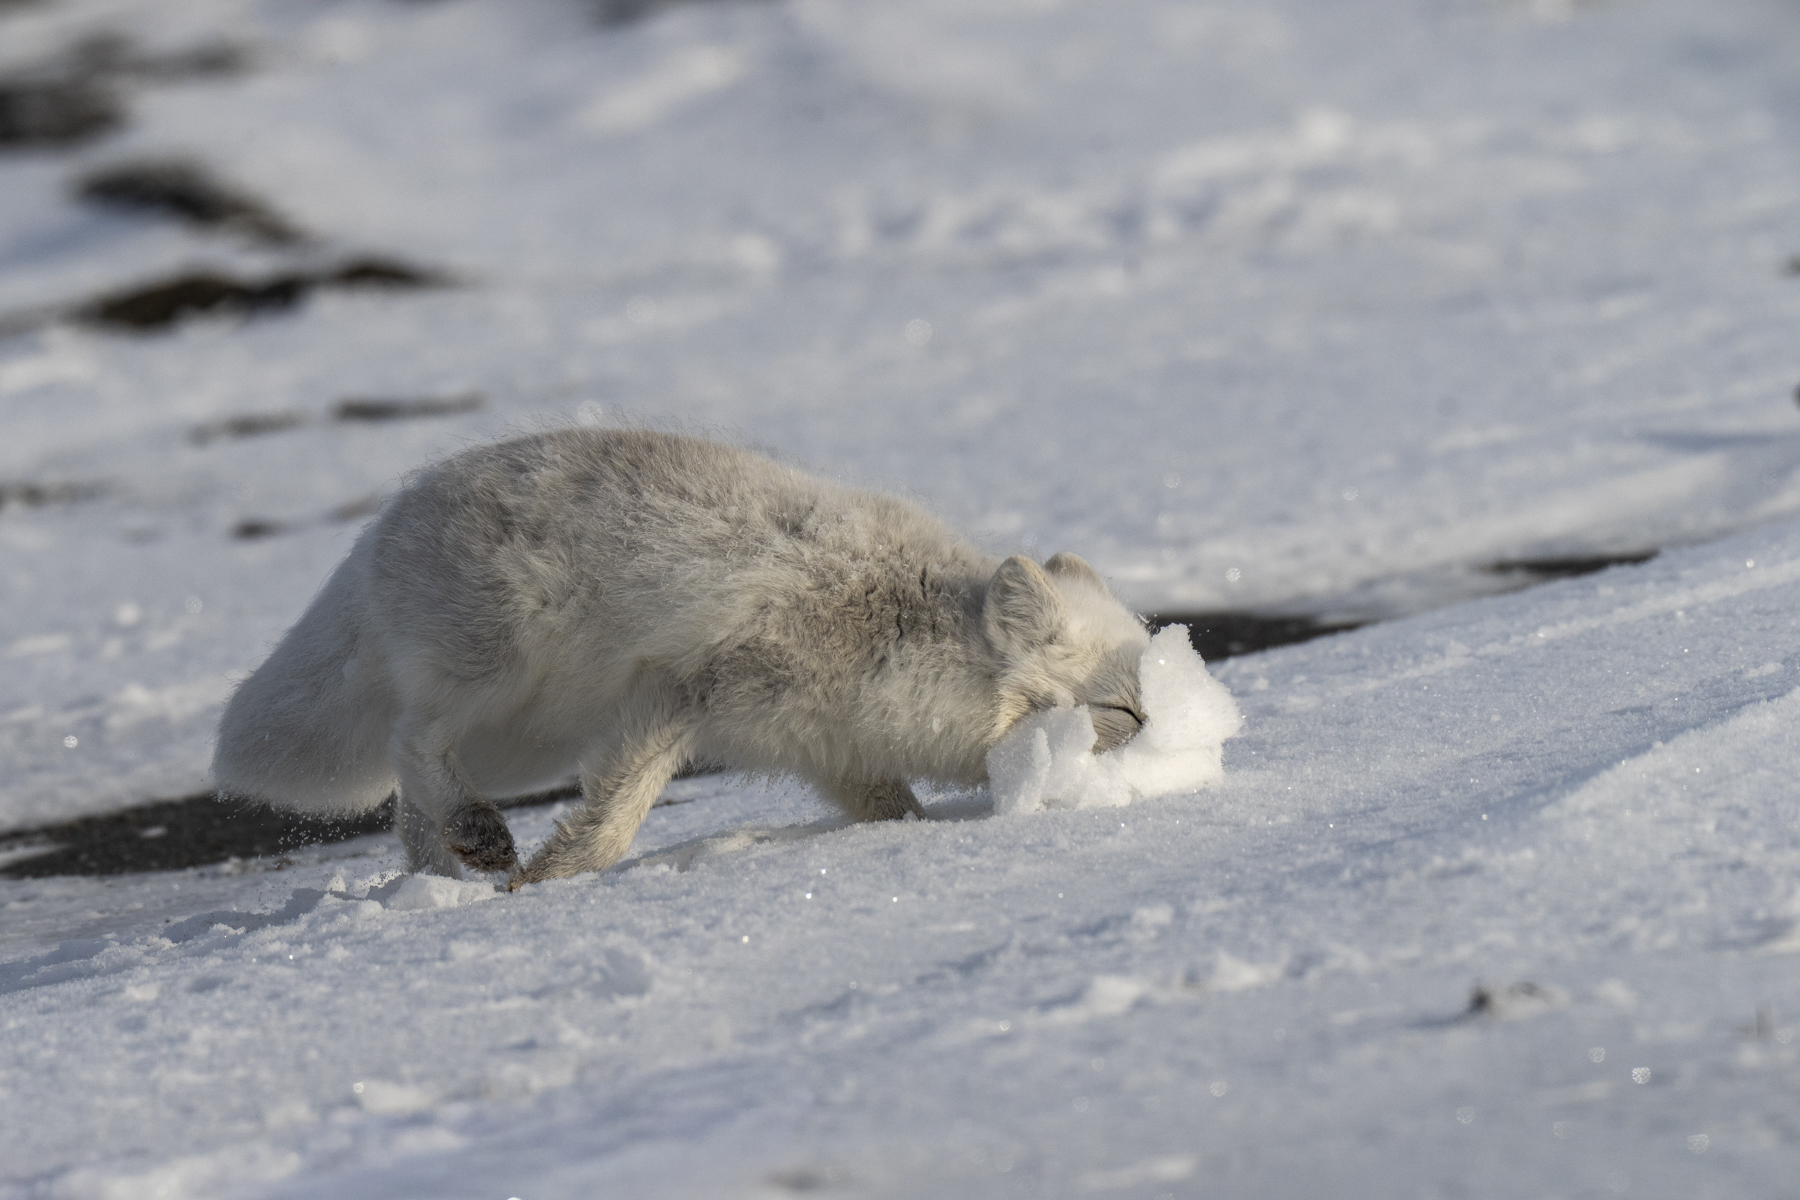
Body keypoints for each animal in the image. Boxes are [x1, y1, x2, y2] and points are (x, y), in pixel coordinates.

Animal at [212, 428, 1151, 884]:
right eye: (1126, 711)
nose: (1174, 746)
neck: (898, 623)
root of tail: (379, 528)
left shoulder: (831, 746)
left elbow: (894, 812)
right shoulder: (686, 690)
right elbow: (618, 812)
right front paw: (553, 881)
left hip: (527, 739)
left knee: (407, 799)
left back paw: (441, 879)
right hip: (495, 667)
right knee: (411, 739)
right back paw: (478, 843)